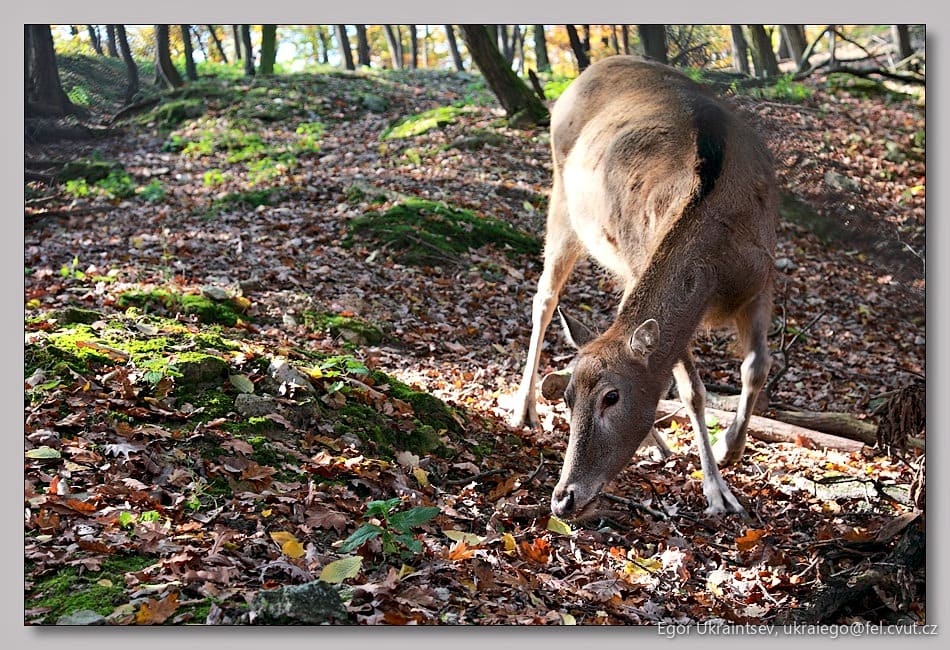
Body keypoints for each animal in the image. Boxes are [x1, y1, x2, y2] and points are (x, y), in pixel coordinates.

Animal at [509, 56, 777, 520]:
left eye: (612, 397)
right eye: (568, 398)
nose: (563, 498)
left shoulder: (763, 279)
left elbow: (756, 366)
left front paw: (730, 449)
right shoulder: (641, 262)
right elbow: (692, 390)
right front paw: (717, 490)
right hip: (562, 200)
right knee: (544, 298)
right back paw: (524, 410)